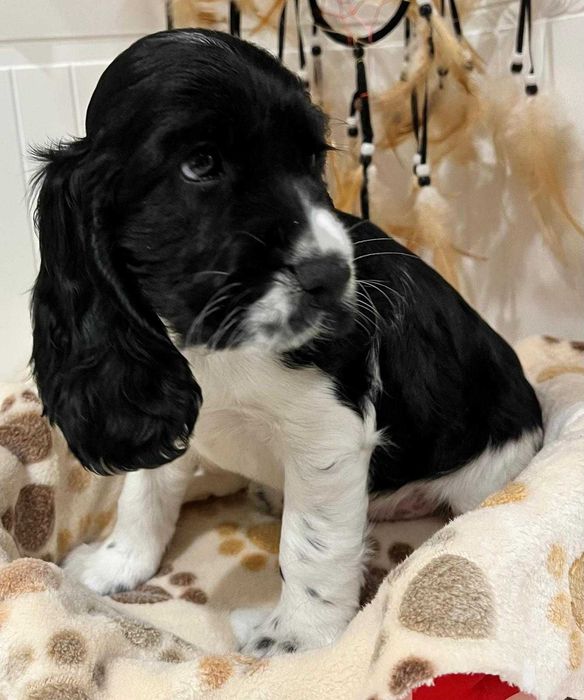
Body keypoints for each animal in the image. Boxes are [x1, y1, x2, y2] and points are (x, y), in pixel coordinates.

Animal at [30, 28, 544, 656]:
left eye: (312, 159)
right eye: (199, 164)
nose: (332, 276)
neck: (211, 341)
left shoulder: (327, 435)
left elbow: (309, 546)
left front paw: (296, 641)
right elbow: (145, 489)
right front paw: (115, 564)